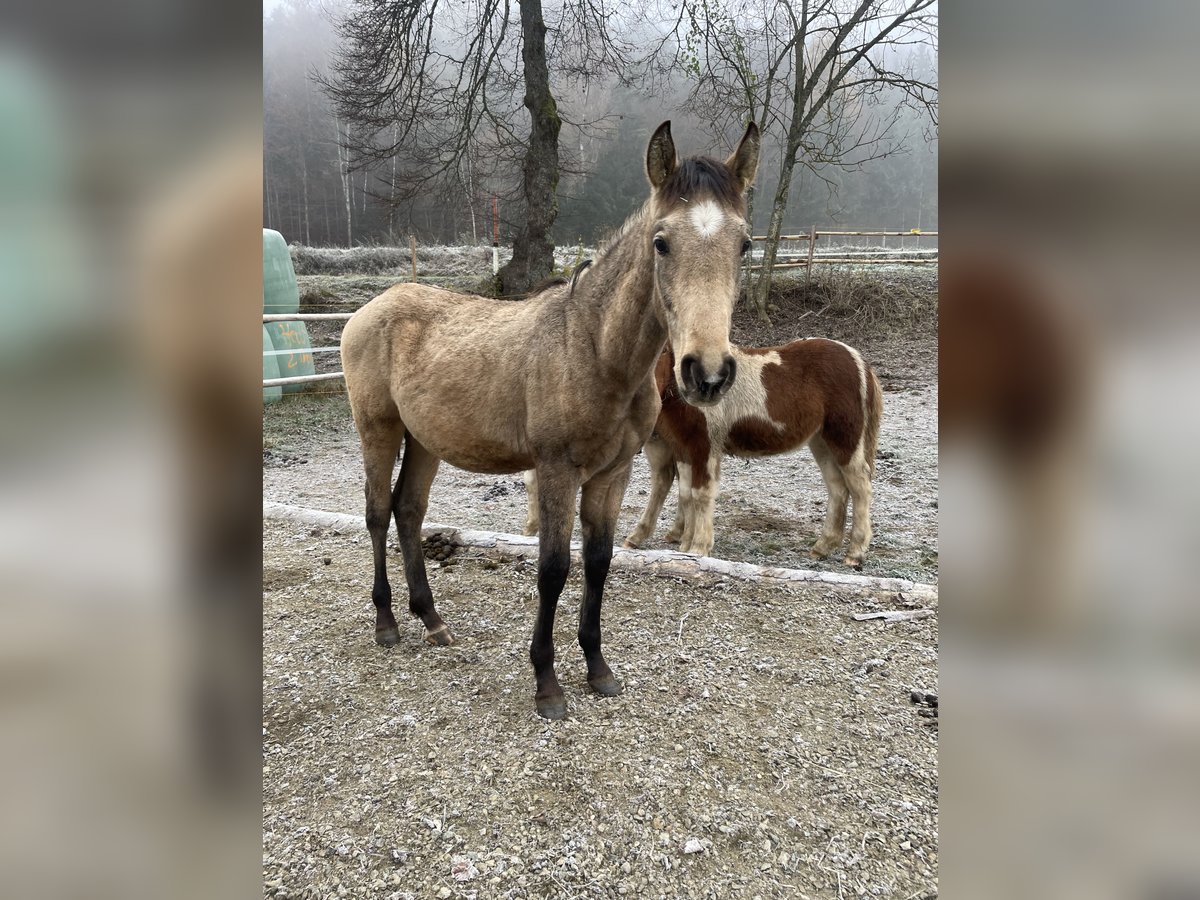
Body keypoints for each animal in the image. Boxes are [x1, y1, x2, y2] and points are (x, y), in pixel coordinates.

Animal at [338, 123, 758, 724]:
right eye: (661, 242)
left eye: (743, 244)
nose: (707, 372)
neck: (594, 350)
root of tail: (370, 309)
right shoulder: (558, 470)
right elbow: (554, 568)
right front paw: (547, 684)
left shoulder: (612, 474)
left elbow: (599, 563)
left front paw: (599, 670)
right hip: (378, 430)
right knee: (376, 514)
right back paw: (387, 624)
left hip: (424, 441)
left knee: (408, 511)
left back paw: (433, 621)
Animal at [628, 340, 883, 566]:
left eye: (663, 352)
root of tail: (859, 360)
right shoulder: (683, 449)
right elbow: (686, 494)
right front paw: (684, 546)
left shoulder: (705, 446)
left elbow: (700, 494)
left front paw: (698, 548)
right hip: (821, 442)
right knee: (837, 487)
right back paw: (823, 547)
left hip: (845, 439)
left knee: (860, 487)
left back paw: (855, 553)